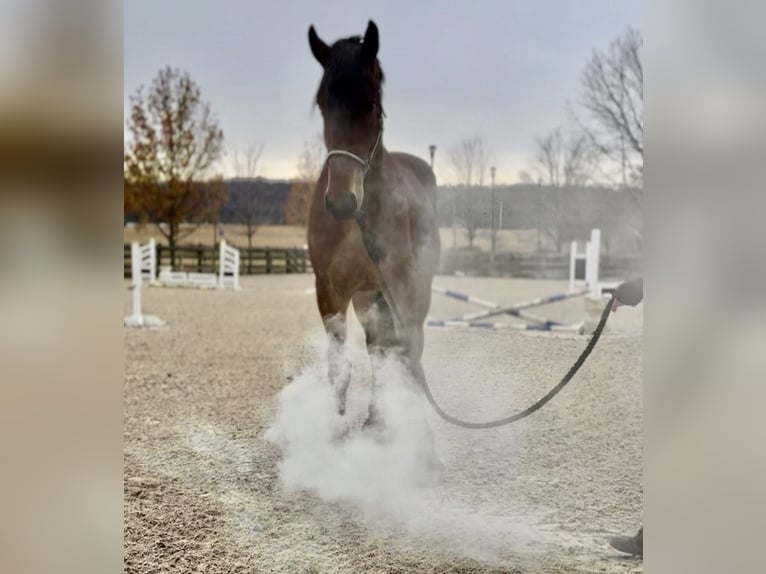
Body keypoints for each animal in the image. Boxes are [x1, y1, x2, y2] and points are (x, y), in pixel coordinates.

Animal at [306, 20, 441, 429]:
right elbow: (340, 368)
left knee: (401, 350)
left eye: (370, 103)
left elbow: (405, 354)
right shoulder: (329, 290)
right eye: (323, 104)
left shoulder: (403, 287)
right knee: (378, 348)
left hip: (411, 291)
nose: (341, 200)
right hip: (369, 298)